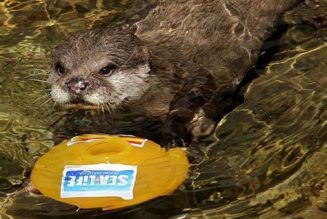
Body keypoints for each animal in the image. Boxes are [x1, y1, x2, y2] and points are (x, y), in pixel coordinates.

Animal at [47, 0, 298, 143]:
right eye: (60, 68)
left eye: (106, 69)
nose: (76, 84)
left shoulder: (198, 74)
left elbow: (198, 98)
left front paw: (180, 133)